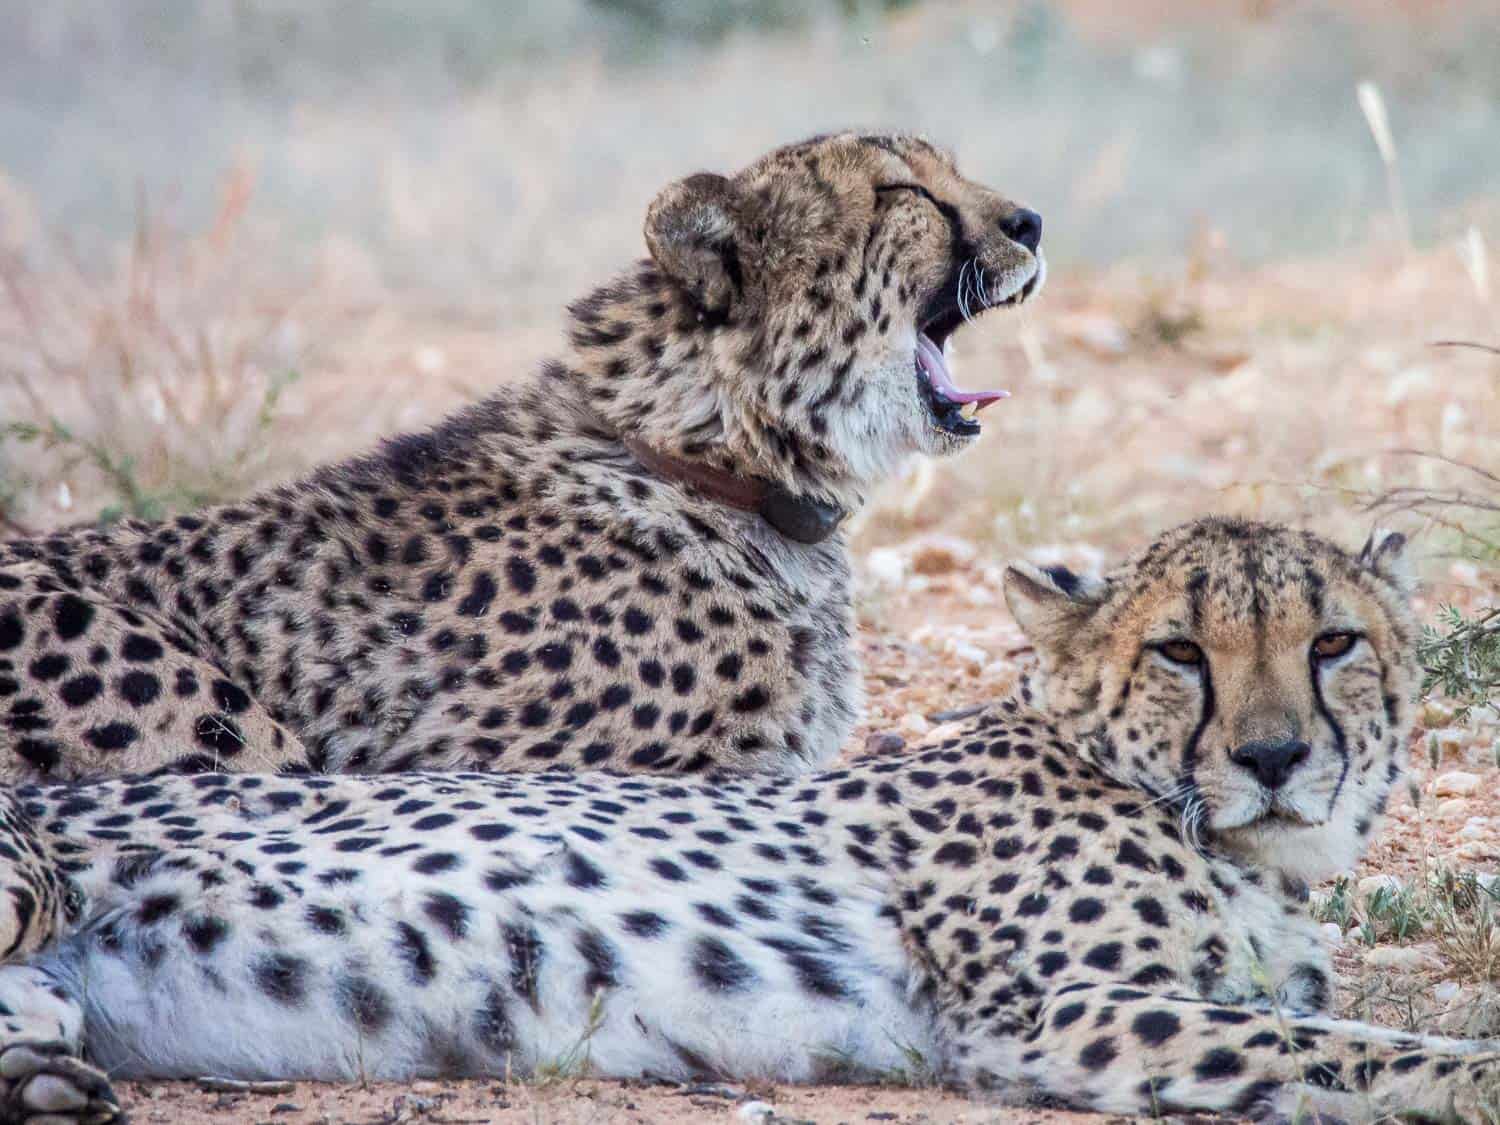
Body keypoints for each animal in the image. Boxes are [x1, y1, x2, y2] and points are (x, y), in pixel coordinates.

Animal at [0, 519, 1488, 1125]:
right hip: (33, 885)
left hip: (53, 985)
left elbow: (1331, 1031)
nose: (1277, 755)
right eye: (1181, 651)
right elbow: (1365, 1048)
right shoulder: (1053, 1009)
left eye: (1335, 643)